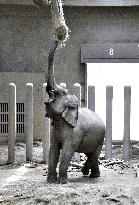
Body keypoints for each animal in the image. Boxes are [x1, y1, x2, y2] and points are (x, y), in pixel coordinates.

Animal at [44, 40, 105, 184]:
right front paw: (50, 181)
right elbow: (53, 150)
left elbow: (67, 151)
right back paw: (92, 175)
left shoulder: (75, 132)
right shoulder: (54, 131)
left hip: (100, 138)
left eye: (64, 92)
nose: (57, 40)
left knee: (94, 155)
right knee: (91, 154)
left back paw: (87, 173)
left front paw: (62, 182)